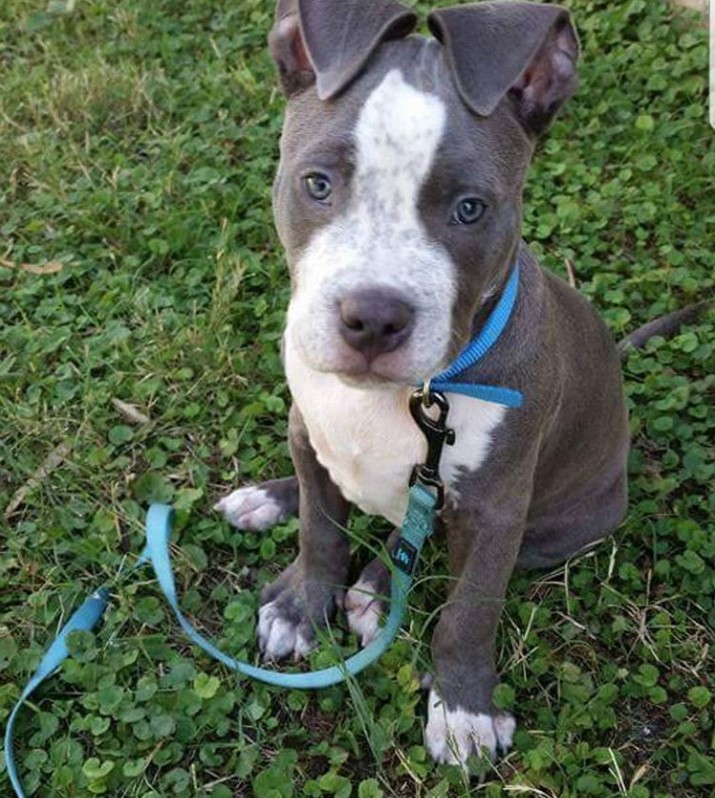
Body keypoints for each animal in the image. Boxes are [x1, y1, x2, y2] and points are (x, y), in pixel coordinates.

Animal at [215, 0, 628, 772]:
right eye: (317, 184)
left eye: (469, 208)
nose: (372, 318)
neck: (401, 398)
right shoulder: (306, 423)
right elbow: (321, 529)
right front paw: (302, 605)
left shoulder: (497, 510)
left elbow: (468, 611)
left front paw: (463, 710)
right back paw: (271, 502)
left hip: (563, 524)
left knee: (428, 544)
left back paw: (376, 592)